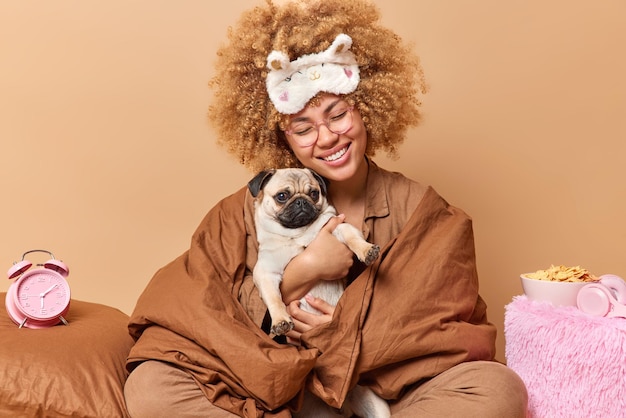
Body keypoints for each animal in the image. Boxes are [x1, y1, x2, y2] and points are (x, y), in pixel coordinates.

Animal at [246, 168, 388, 418]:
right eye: (282, 196)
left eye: (314, 193)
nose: (302, 201)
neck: (296, 236)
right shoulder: (265, 273)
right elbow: (274, 300)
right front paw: (281, 321)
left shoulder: (339, 227)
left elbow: (353, 237)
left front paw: (366, 250)